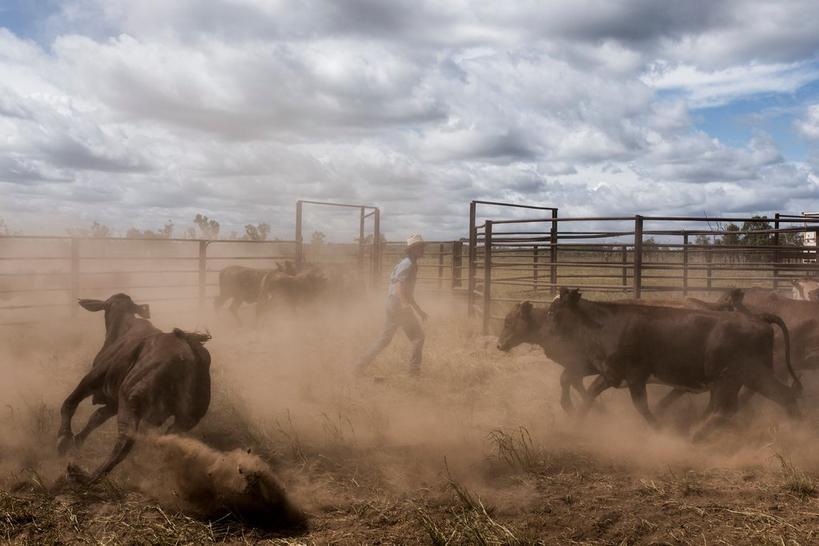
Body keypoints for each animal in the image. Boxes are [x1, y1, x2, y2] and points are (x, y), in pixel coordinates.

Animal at [57, 292, 211, 482]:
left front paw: (63, 440)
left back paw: (86, 476)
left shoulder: (94, 377)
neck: (123, 329)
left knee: (125, 440)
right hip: (186, 418)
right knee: (167, 439)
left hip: (130, 401)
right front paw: (76, 441)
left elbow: (70, 403)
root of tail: (190, 355)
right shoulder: (113, 402)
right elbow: (96, 417)